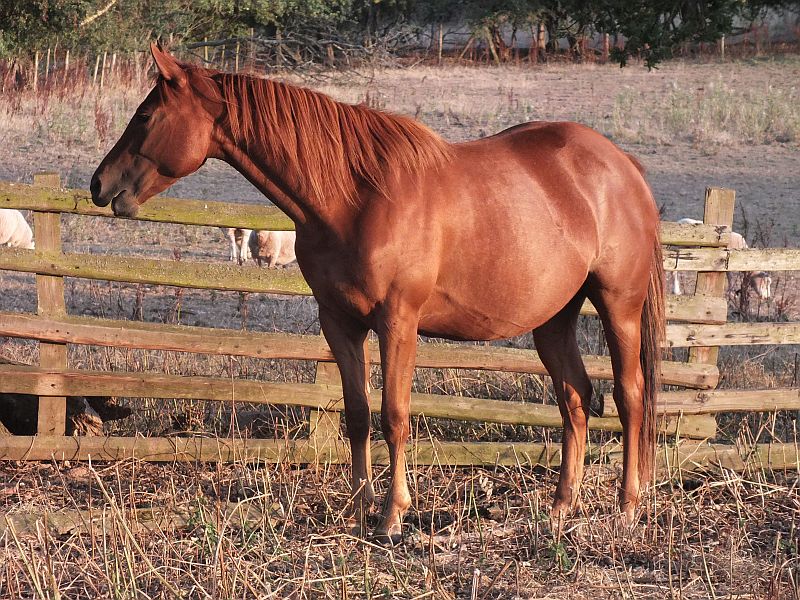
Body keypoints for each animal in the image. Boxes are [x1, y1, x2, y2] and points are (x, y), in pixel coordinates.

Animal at [91, 44, 665, 544]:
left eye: (146, 116)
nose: (99, 185)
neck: (353, 196)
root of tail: (622, 167)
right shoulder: (340, 323)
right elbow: (358, 414)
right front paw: (357, 508)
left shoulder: (397, 324)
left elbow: (395, 416)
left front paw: (392, 515)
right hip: (554, 319)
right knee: (576, 399)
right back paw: (561, 505)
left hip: (619, 306)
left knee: (630, 397)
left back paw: (629, 506)